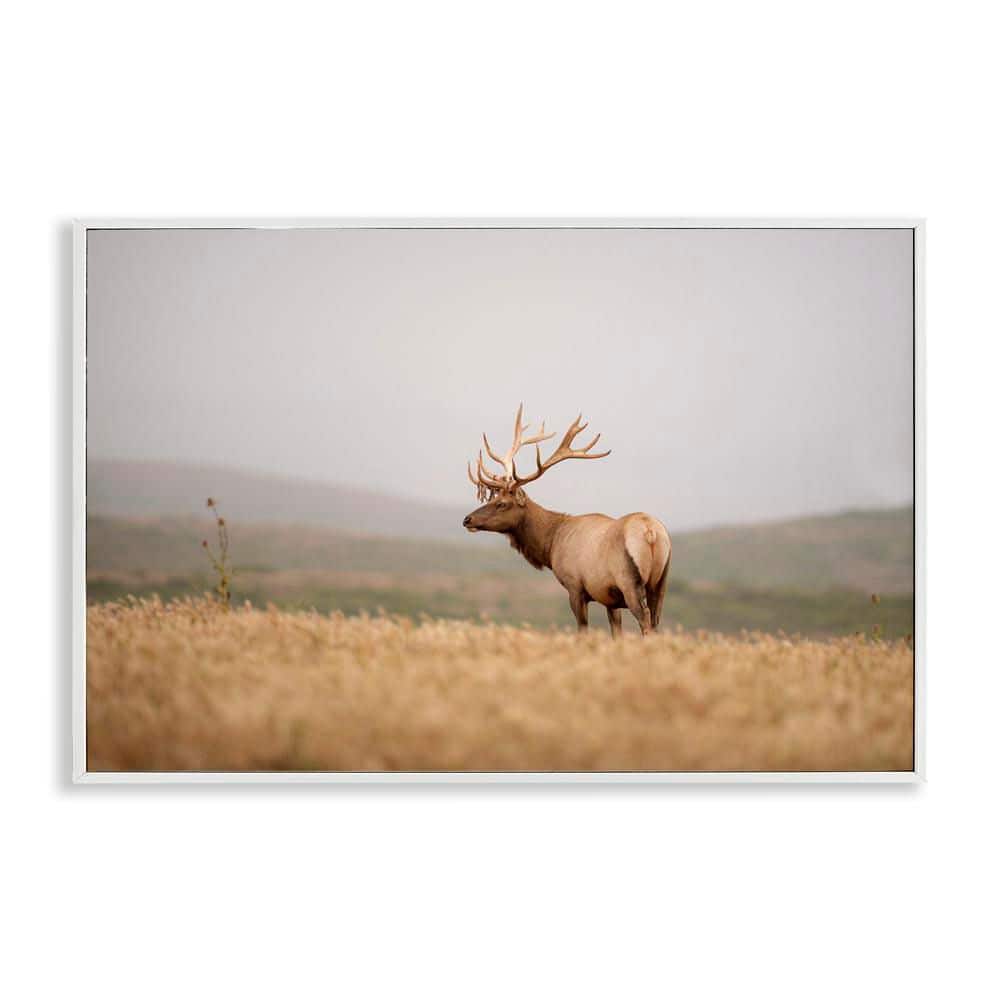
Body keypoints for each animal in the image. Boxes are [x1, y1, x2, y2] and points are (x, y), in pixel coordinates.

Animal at [463, 405, 671, 637]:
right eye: (493, 497)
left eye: (502, 503)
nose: (467, 519)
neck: (551, 543)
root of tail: (650, 532)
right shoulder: (609, 598)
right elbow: (616, 633)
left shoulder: (575, 586)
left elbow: (582, 629)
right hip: (660, 582)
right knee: (655, 620)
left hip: (629, 580)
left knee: (645, 620)